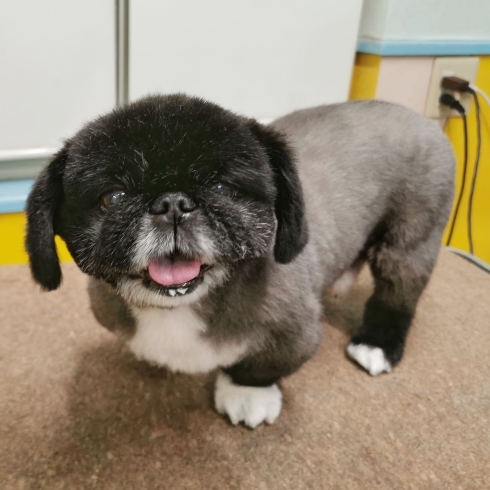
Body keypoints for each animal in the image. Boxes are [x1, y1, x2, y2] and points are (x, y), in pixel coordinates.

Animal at [25, 94, 456, 426]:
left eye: (221, 187)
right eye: (112, 197)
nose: (173, 203)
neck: (184, 306)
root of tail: (419, 119)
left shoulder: (296, 334)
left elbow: (261, 367)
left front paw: (247, 393)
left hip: (408, 243)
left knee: (397, 294)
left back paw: (377, 344)